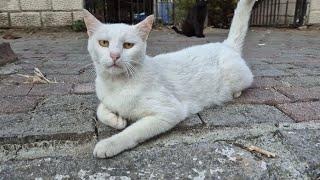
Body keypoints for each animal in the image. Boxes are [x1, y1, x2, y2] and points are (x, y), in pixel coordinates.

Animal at [84, 0, 256, 158]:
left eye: (128, 45)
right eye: (104, 43)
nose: (114, 55)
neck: (116, 84)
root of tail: (225, 45)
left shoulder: (169, 112)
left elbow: (133, 131)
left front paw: (109, 144)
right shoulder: (106, 99)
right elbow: (100, 109)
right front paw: (116, 120)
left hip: (238, 76)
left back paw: (235, 94)